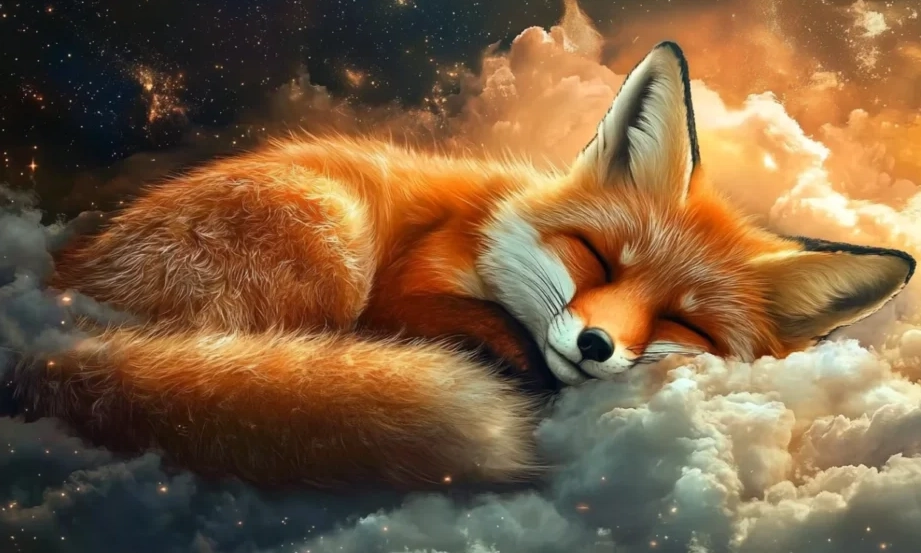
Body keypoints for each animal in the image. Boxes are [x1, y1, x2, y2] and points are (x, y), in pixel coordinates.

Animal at [6, 42, 915, 490]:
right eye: (594, 256)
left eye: (684, 321)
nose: (592, 347)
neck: (487, 220)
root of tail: (53, 331)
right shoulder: (408, 279)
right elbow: (438, 319)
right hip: (329, 236)